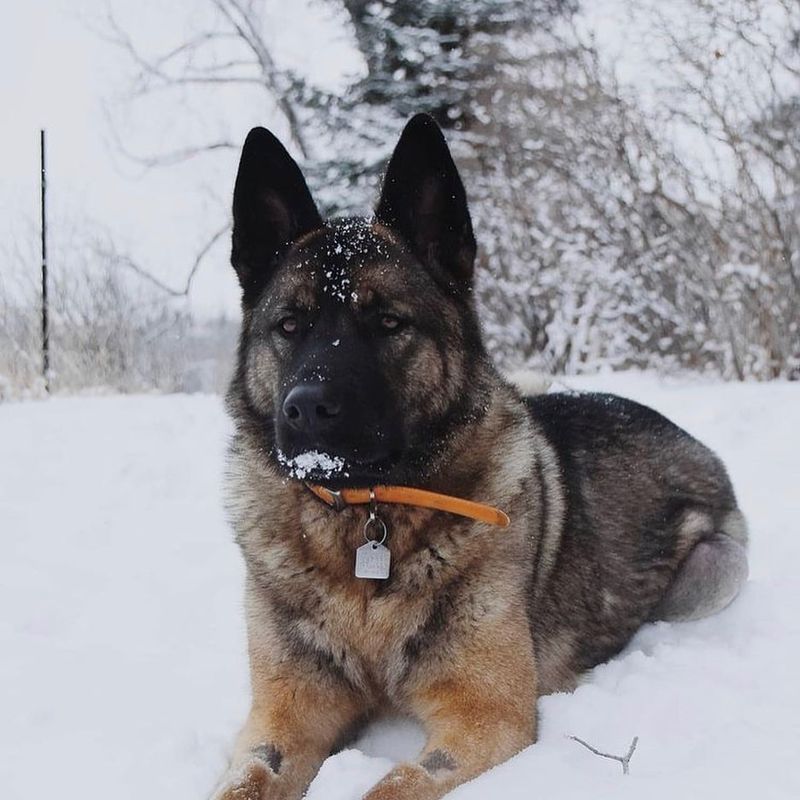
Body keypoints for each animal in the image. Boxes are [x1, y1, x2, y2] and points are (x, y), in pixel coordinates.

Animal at [214, 114, 752, 800]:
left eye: (388, 323)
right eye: (289, 325)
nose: (305, 410)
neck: (365, 521)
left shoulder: (484, 714)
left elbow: (395, 784)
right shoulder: (286, 713)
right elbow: (249, 777)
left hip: (714, 573)